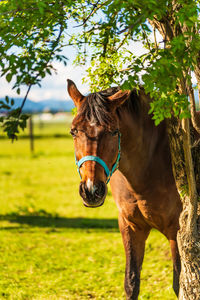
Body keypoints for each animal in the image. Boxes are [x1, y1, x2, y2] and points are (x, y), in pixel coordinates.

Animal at [67, 79, 183, 300]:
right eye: (73, 131)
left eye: (114, 131)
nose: (91, 190)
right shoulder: (130, 226)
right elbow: (131, 282)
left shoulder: (177, 230)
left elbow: (180, 284)